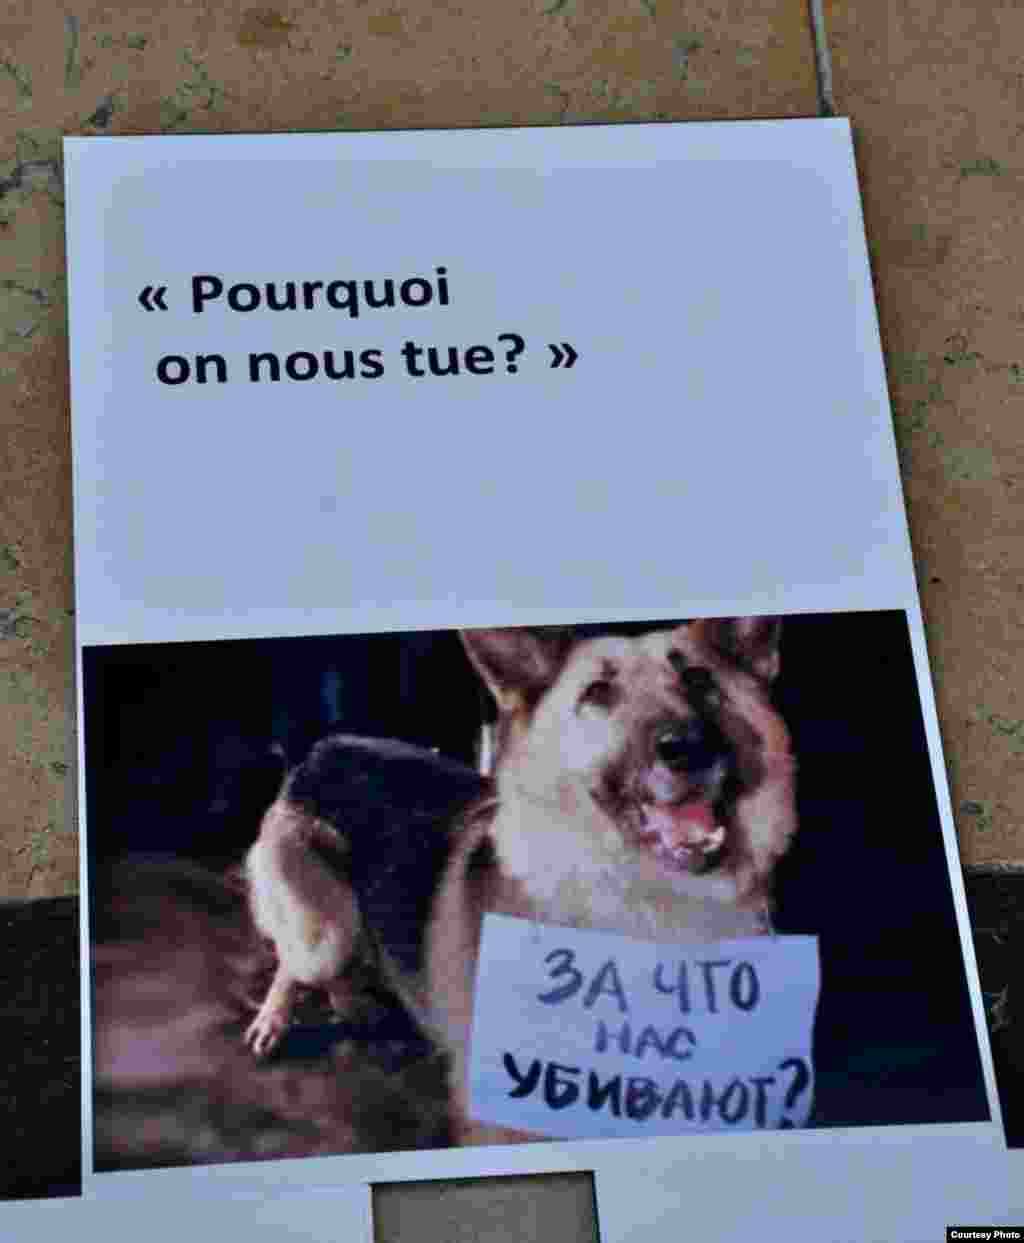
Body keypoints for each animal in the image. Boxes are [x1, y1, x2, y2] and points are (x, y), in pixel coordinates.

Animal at [243, 617, 798, 1144]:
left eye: (699, 677)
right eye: (598, 692)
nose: (690, 747)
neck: (647, 913)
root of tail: (322, 748)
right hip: (325, 932)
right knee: (294, 960)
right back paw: (275, 1018)